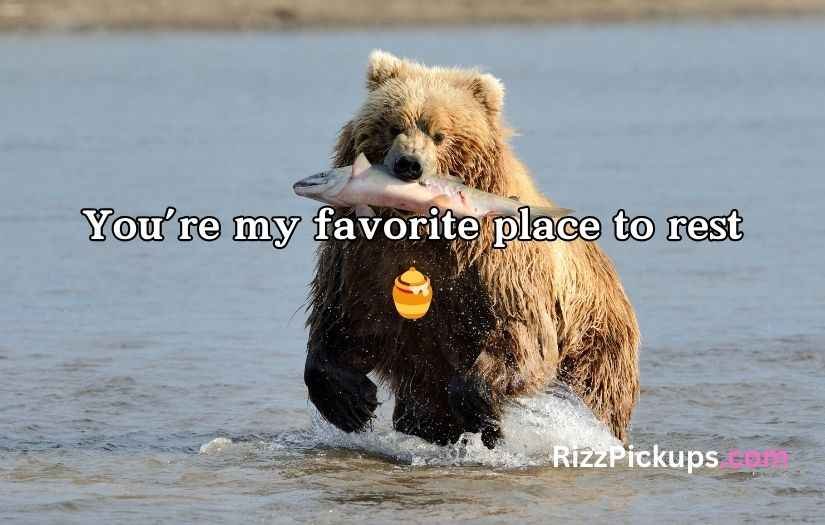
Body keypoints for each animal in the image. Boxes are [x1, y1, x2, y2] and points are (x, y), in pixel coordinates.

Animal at [304, 50, 640, 448]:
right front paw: (351, 401)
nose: (408, 165)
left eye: (440, 134)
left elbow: (516, 333)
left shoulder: (494, 265)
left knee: (592, 393)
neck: (419, 228)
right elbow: (346, 315)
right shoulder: (362, 254)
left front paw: (484, 414)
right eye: (394, 125)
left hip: (595, 341)